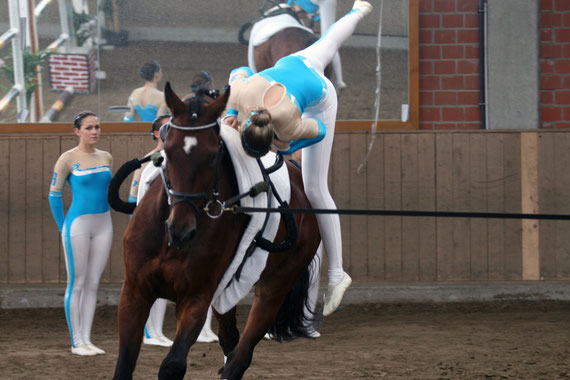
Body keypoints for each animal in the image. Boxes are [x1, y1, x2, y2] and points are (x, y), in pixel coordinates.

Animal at [112, 81, 320, 378]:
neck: (170, 242)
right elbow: (124, 365)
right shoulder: (134, 292)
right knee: (230, 340)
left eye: (213, 155)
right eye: (168, 150)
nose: (182, 230)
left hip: (275, 285)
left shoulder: (196, 298)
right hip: (228, 291)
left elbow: (173, 365)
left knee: (241, 355)